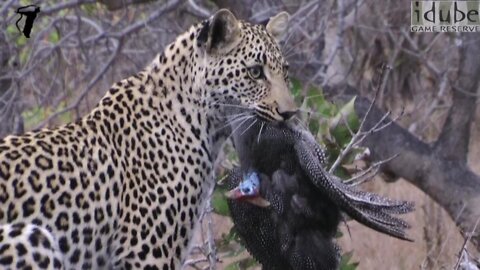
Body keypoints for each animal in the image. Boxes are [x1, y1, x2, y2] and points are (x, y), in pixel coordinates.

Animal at [0, 8, 296, 270]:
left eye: (285, 72)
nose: (290, 113)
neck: (205, 127)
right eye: (255, 72)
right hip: (31, 239)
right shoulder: (147, 251)